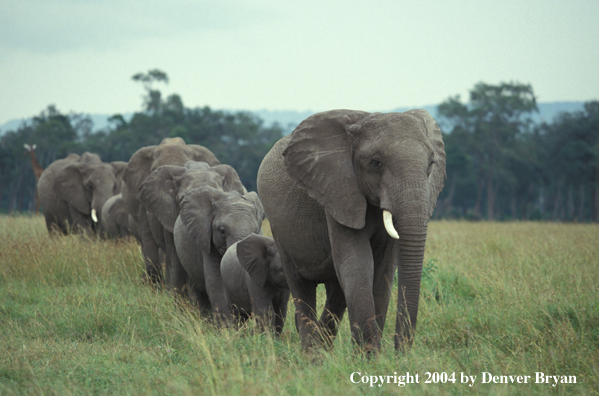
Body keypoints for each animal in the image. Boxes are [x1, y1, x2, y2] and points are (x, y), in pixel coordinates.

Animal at [256, 108, 446, 352]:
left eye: (431, 164)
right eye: (376, 163)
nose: (400, 353)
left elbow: (383, 269)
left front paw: (370, 355)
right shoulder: (336, 191)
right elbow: (357, 262)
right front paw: (369, 355)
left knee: (337, 291)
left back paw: (323, 345)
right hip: (279, 230)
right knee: (300, 286)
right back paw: (312, 354)